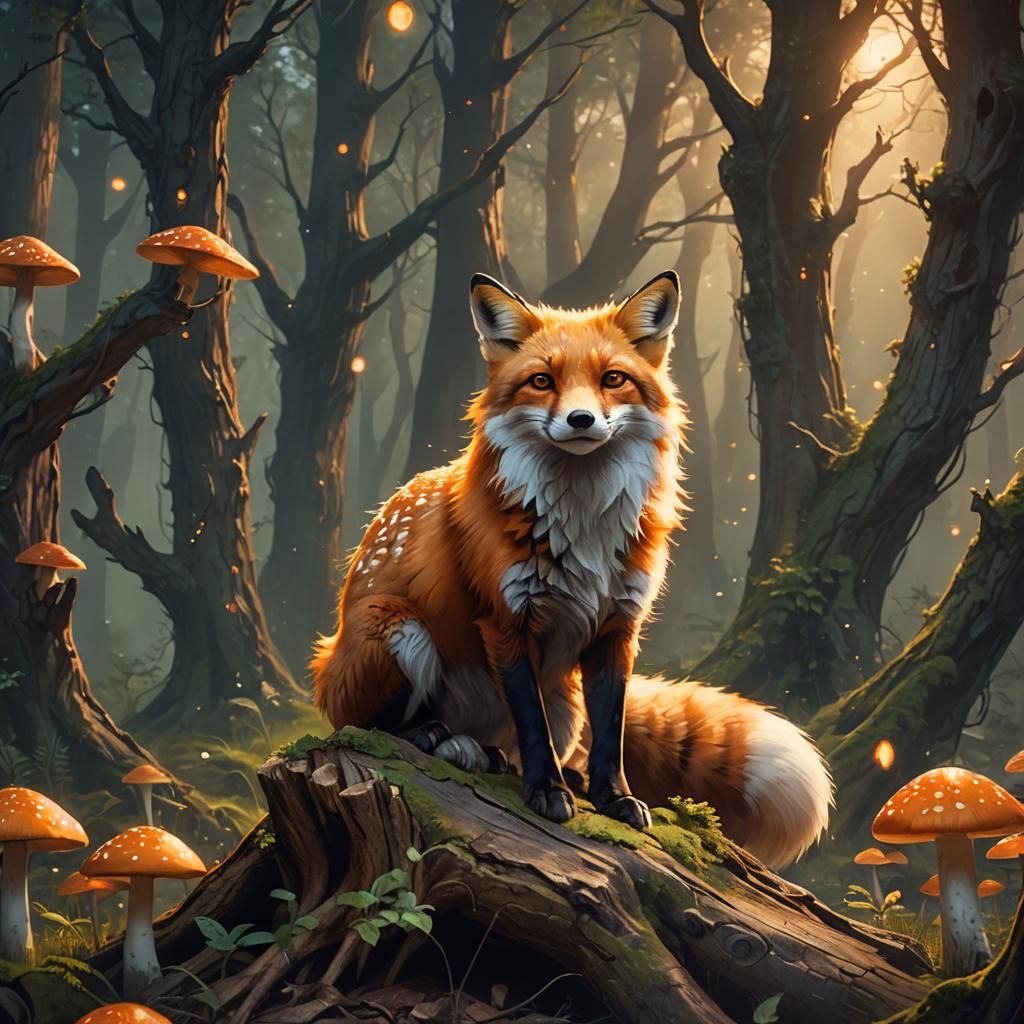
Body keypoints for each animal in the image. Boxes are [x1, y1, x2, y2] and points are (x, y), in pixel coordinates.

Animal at [312, 270, 833, 868]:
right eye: (542, 380)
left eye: (613, 379)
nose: (581, 419)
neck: (583, 529)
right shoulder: (505, 621)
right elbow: (530, 722)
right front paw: (547, 792)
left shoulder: (618, 627)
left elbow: (611, 732)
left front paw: (612, 797)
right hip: (398, 629)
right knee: (374, 724)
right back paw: (444, 741)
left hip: (565, 704)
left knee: (525, 744)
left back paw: (515, 763)